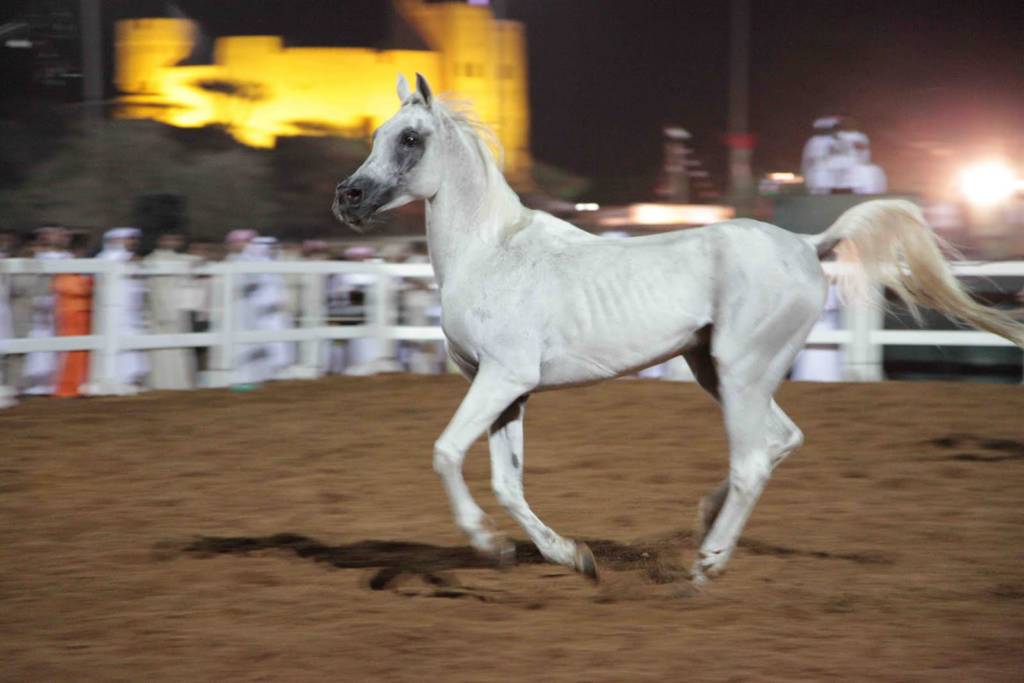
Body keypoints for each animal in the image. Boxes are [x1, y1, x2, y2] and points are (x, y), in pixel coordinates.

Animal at [335, 74, 1024, 589]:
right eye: (377, 135)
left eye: (411, 138)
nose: (348, 196)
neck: (492, 252)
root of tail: (808, 243)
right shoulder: (507, 389)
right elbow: (508, 482)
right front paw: (570, 557)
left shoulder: (502, 378)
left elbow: (446, 452)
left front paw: (486, 545)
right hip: (715, 370)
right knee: (782, 438)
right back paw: (703, 523)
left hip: (741, 372)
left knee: (753, 459)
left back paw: (706, 564)